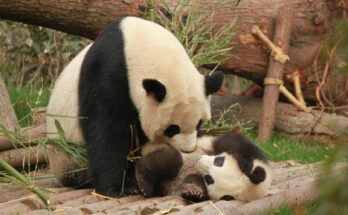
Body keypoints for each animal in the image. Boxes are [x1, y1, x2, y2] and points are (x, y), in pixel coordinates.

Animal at [45, 15, 223, 197]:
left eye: (199, 123)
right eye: (172, 128)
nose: (188, 150)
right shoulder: (107, 74)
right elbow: (106, 131)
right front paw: (117, 189)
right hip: (66, 155)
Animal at [136, 132, 272, 202]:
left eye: (209, 179)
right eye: (219, 161)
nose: (198, 160)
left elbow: (196, 182)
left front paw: (194, 192)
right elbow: (233, 141)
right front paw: (244, 164)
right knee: (171, 159)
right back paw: (143, 182)